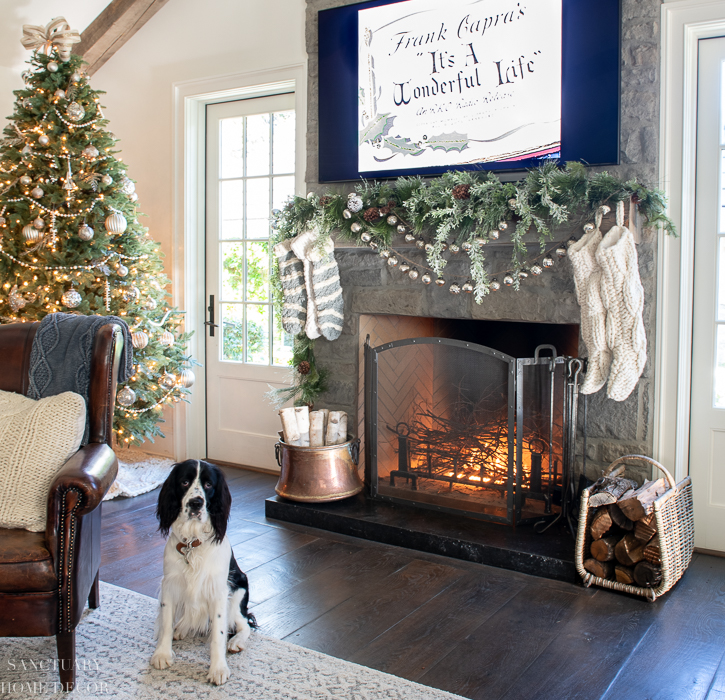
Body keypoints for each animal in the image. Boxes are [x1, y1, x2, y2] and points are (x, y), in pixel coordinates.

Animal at [150, 460, 258, 684]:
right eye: (184, 482)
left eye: (209, 484)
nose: (196, 503)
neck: (193, 542)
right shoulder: (170, 585)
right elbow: (166, 622)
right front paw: (162, 654)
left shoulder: (218, 592)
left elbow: (218, 633)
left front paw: (218, 669)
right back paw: (181, 629)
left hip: (238, 593)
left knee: (244, 624)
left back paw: (236, 642)